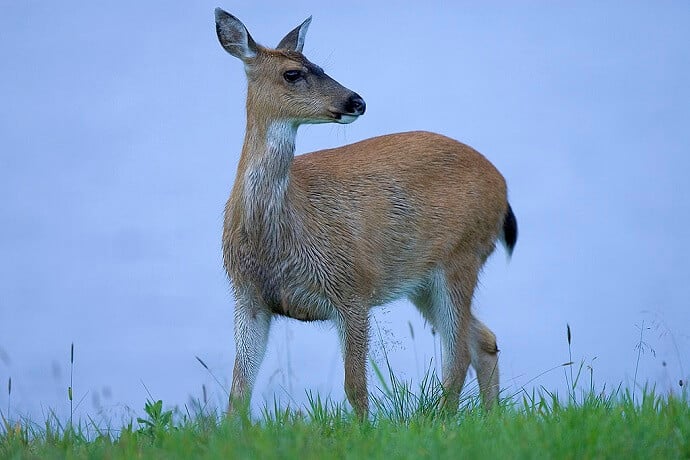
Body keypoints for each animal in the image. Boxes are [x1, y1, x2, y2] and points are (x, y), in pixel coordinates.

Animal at [214, 7, 516, 418]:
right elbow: (238, 392)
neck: (279, 233)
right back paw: (487, 418)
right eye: (293, 73)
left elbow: (355, 387)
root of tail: (502, 185)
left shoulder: (352, 286)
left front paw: (362, 427)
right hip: (422, 280)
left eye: (320, 65)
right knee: (482, 340)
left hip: (461, 256)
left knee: (457, 356)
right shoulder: (248, 297)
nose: (356, 101)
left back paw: (443, 422)